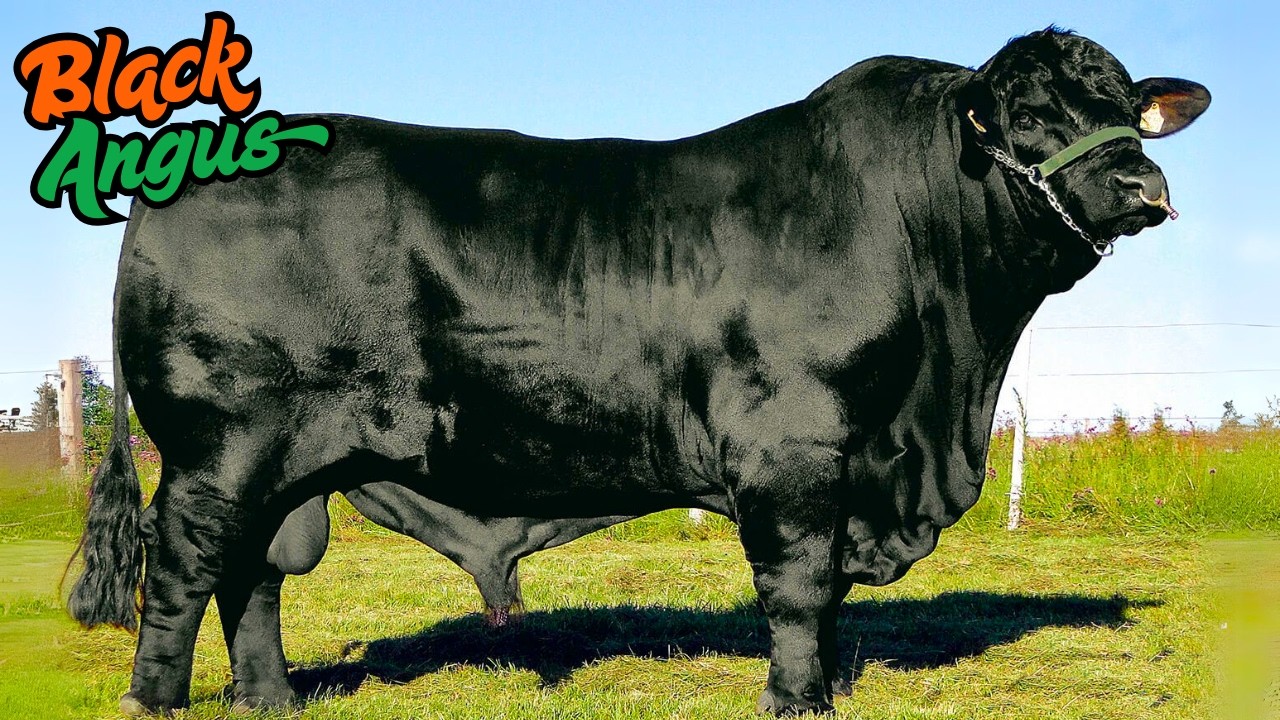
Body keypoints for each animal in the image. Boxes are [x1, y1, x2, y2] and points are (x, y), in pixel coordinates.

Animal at [68, 27, 1208, 716]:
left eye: (1123, 104)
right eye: (1028, 117)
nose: (1141, 183)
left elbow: (826, 594)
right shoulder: (795, 445)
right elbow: (799, 584)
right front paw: (795, 697)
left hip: (283, 462)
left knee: (253, 576)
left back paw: (271, 698)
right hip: (220, 447)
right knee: (187, 569)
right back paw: (153, 698)